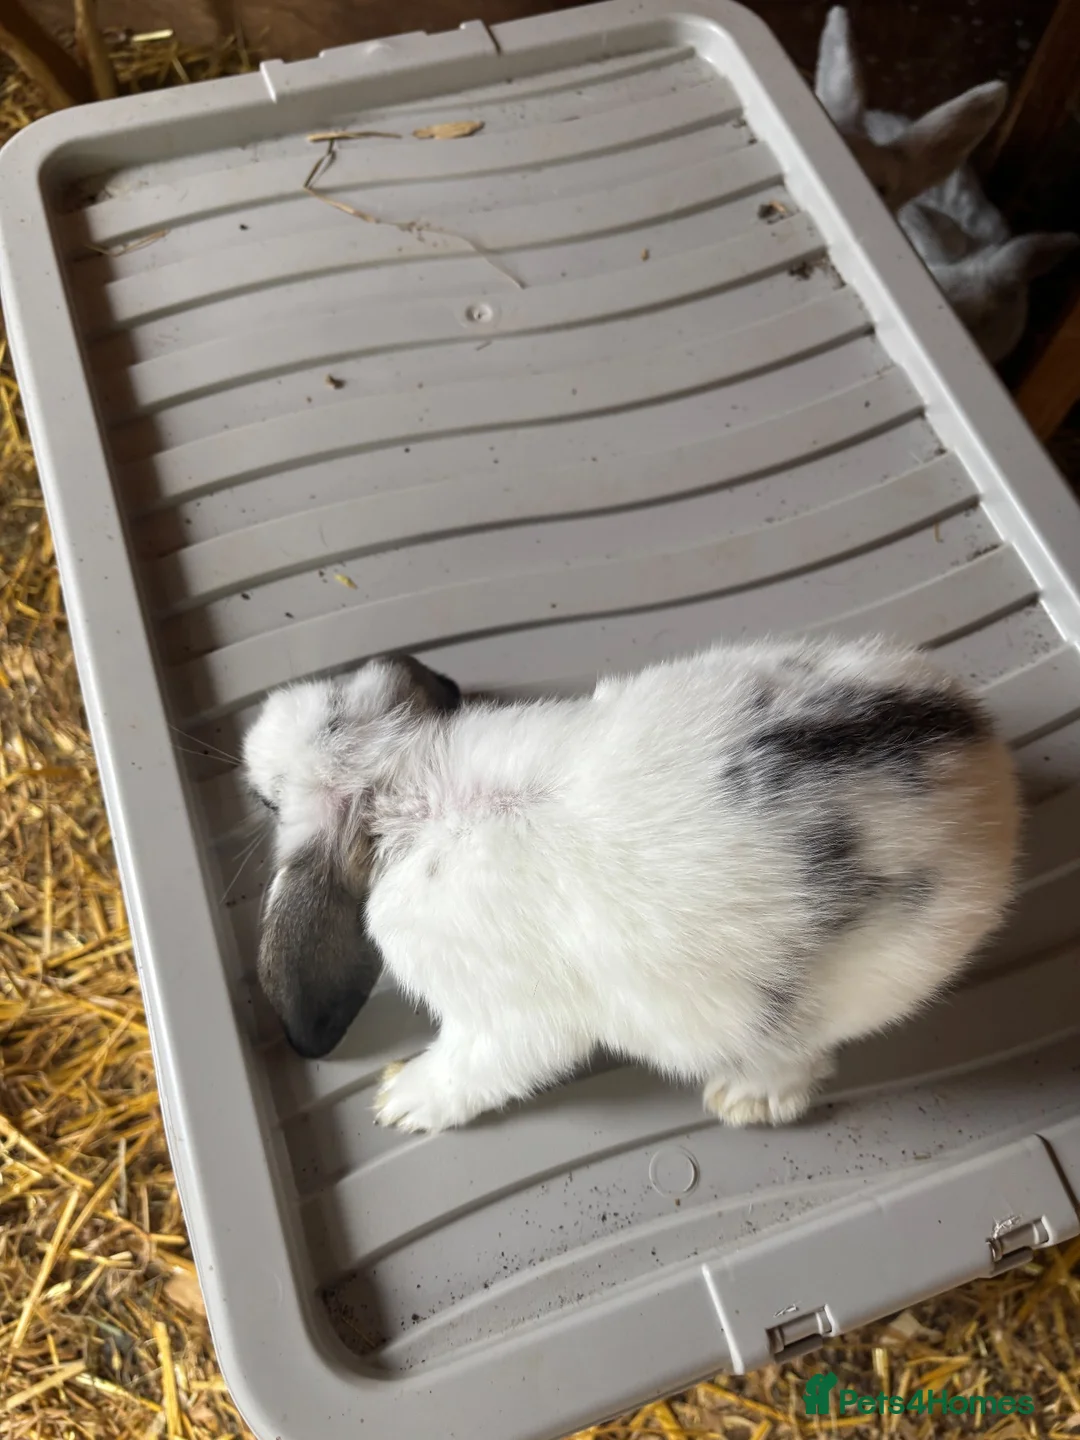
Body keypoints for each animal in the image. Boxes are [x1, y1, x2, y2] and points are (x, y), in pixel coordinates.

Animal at [242, 639, 1020, 1133]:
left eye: (267, 801)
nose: (253, 744)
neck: (402, 786)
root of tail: (985, 771)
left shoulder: (504, 1019)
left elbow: (477, 1067)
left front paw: (401, 1101)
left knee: (804, 1058)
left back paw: (745, 1098)